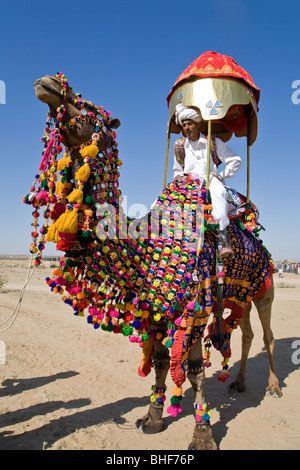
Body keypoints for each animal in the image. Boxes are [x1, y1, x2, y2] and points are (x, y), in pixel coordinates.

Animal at [23, 50, 282, 448]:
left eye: (89, 110)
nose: (48, 82)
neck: (146, 247)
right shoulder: (156, 310)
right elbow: (161, 362)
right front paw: (154, 417)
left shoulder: (195, 309)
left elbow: (194, 369)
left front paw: (202, 434)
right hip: (239, 294)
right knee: (247, 331)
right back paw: (238, 383)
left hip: (265, 287)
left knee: (267, 334)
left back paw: (272, 387)